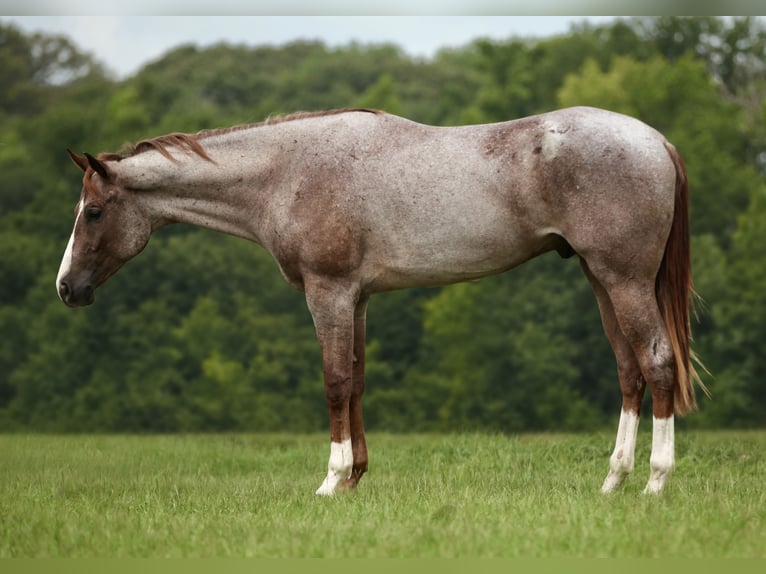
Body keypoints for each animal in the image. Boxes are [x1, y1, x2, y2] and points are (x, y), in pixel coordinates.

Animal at [56, 106, 706, 495]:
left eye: (93, 212)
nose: (66, 287)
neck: (289, 171)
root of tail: (656, 140)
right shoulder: (359, 298)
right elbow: (358, 381)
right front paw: (356, 480)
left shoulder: (329, 292)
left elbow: (334, 381)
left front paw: (331, 479)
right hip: (602, 280)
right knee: (628, 372)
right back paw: (613, 481)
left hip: (623, 280)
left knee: (656, 364)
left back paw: (656, 482)